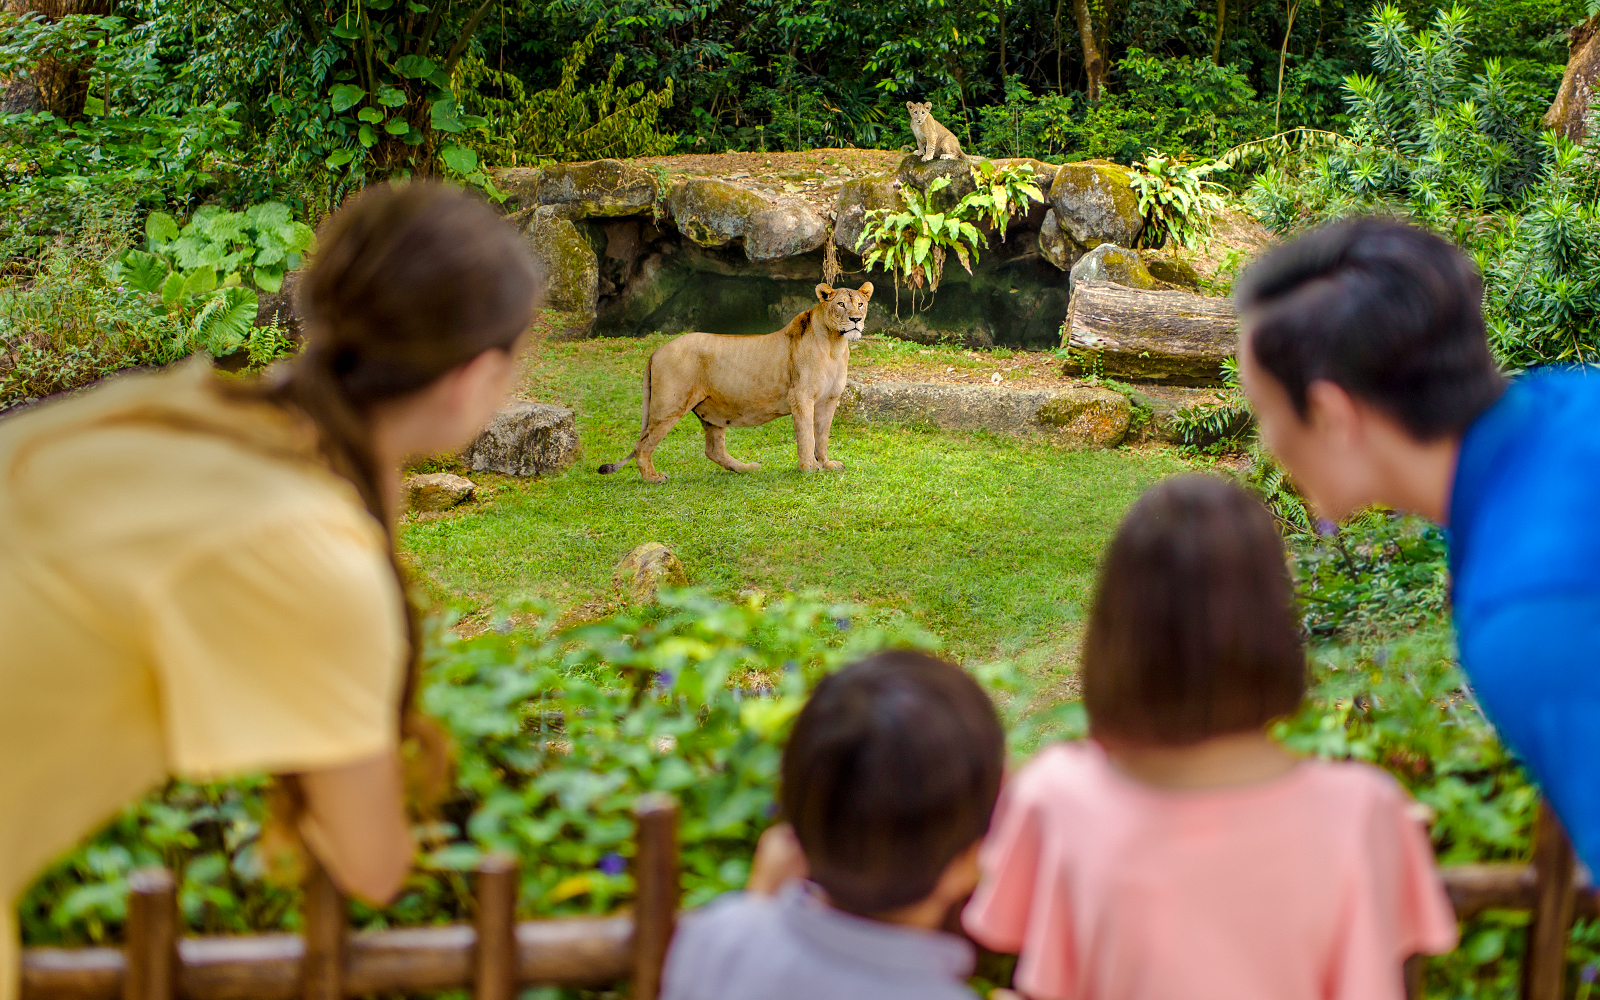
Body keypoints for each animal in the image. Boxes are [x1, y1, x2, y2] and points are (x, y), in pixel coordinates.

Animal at [597, 283, 874, 483]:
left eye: (860, 304)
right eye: (841, 304)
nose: (855, 320)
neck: (834, 345)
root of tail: (655, 351)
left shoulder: (829, 400)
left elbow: (822, 435)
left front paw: (826, 464)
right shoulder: (801, 397)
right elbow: (807, 435)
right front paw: (808, 468)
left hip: (710, 412)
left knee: (713, 450)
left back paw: (748, 468)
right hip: (668, 407)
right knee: (642, 445)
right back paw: (653, 478)